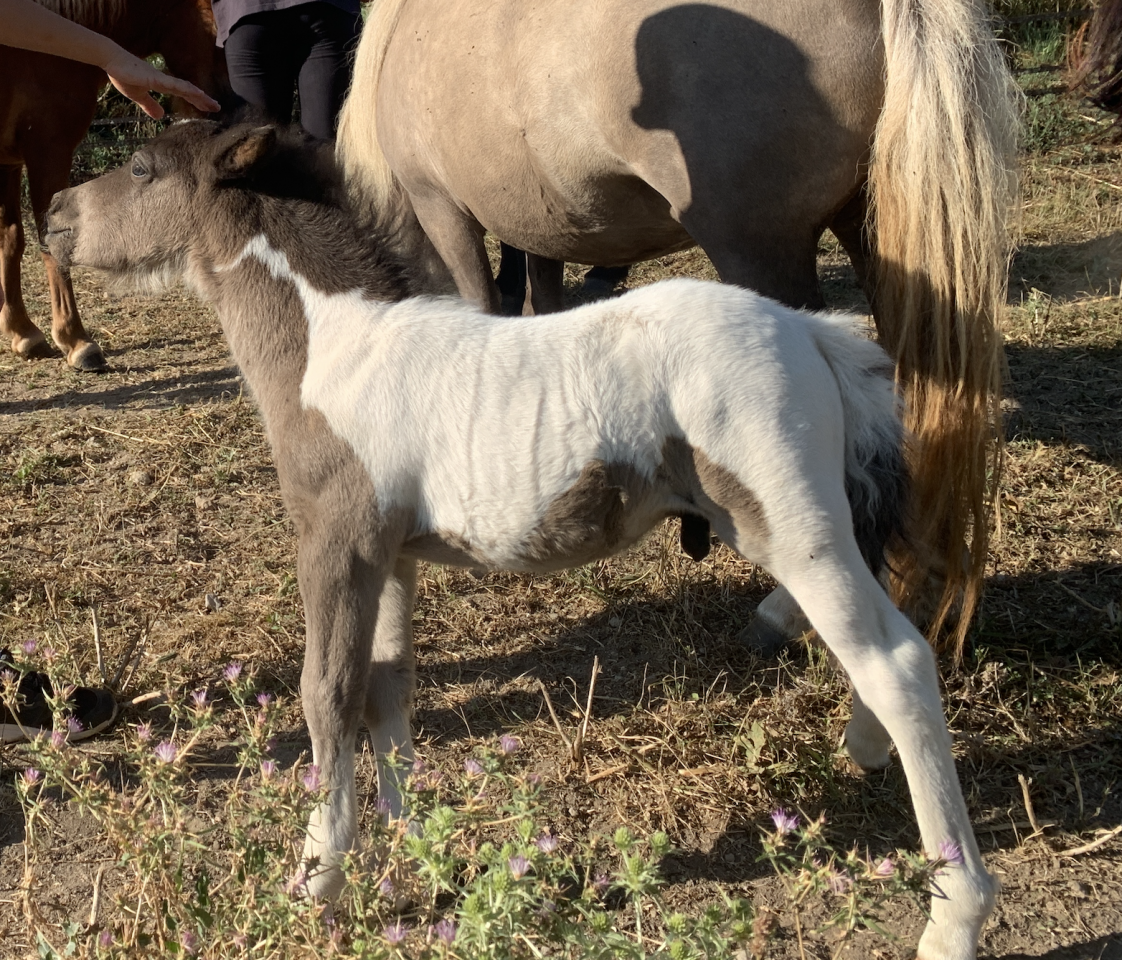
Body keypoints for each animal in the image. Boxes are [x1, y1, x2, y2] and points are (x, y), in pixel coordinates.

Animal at [0, 0, 227, 372]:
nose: (222, 108)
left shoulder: (9, 161)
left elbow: (11, 242)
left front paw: (22, 332)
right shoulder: (48, 151)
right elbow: (54, 246)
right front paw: (76, 341)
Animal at [47, 119, 998, 960]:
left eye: (140, 167)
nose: (54, 211)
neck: (336, 348)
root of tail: (812, 331)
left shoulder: (336, 543)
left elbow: (327, 695)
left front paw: (319, 878)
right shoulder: (392, 558)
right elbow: (387, 690)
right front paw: (412, 854)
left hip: (792, 523)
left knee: (896, 658)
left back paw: (954, 914)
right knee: (883, 635)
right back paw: (865, 749)